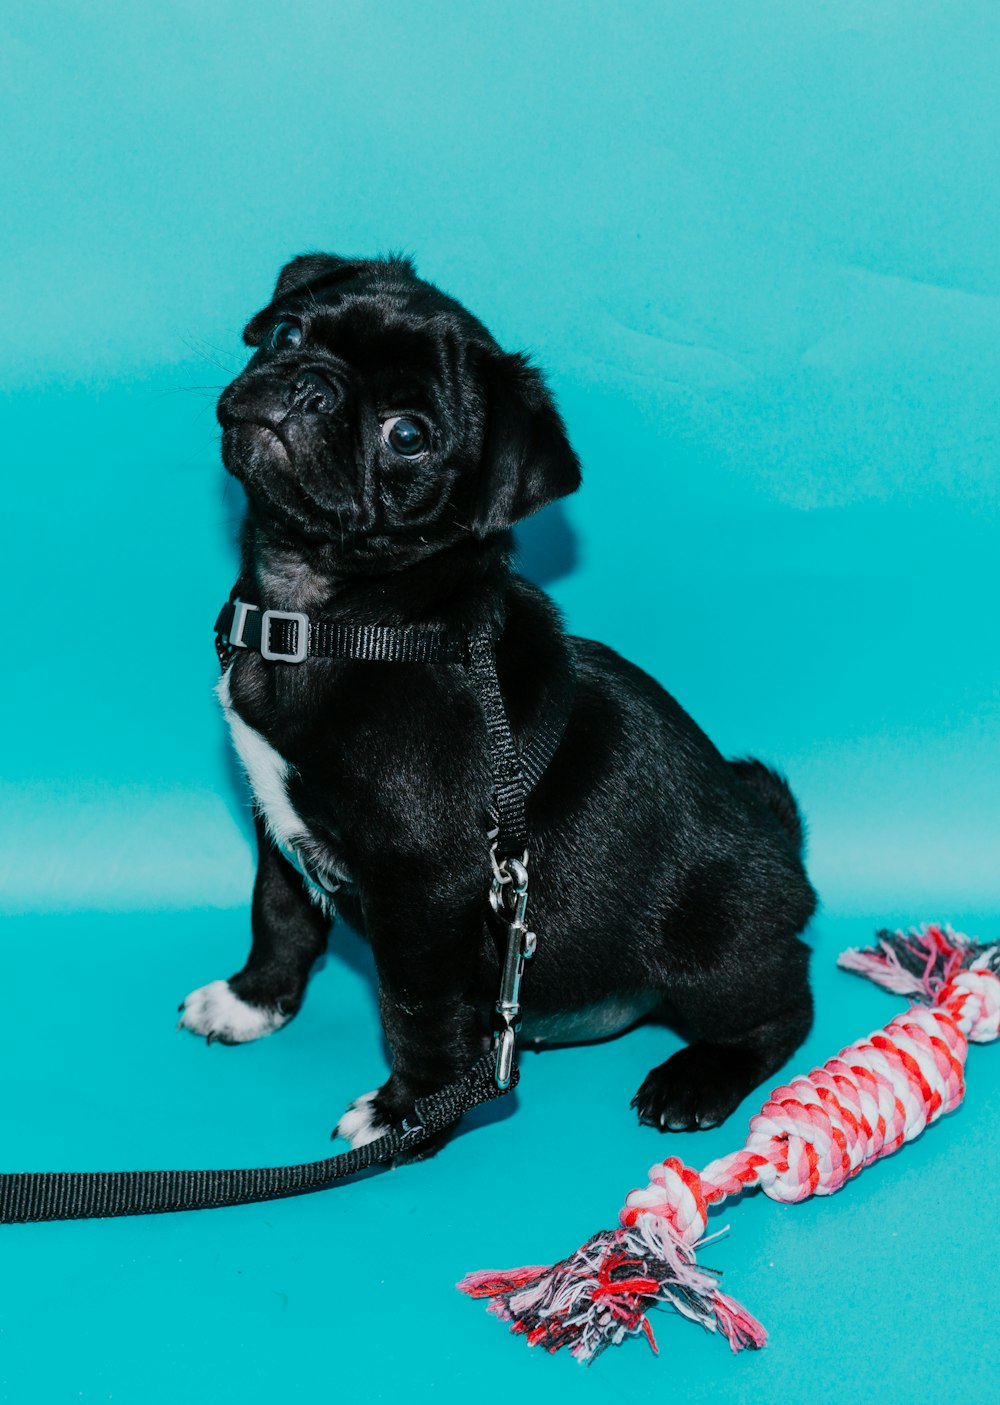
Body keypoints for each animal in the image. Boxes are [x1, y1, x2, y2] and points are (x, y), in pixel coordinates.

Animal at [181, 252, 820, 1152]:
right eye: (287, 333)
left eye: (407, 434)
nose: (311, 386)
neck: (331, 612)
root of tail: (782, 845)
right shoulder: (276, 820)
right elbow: (280, 912)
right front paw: (253, 1001)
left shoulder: (422, 893)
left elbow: (414, 1008)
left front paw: (409, 1113)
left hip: (711, 947)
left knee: (781, 1005)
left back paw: (697, 1076)